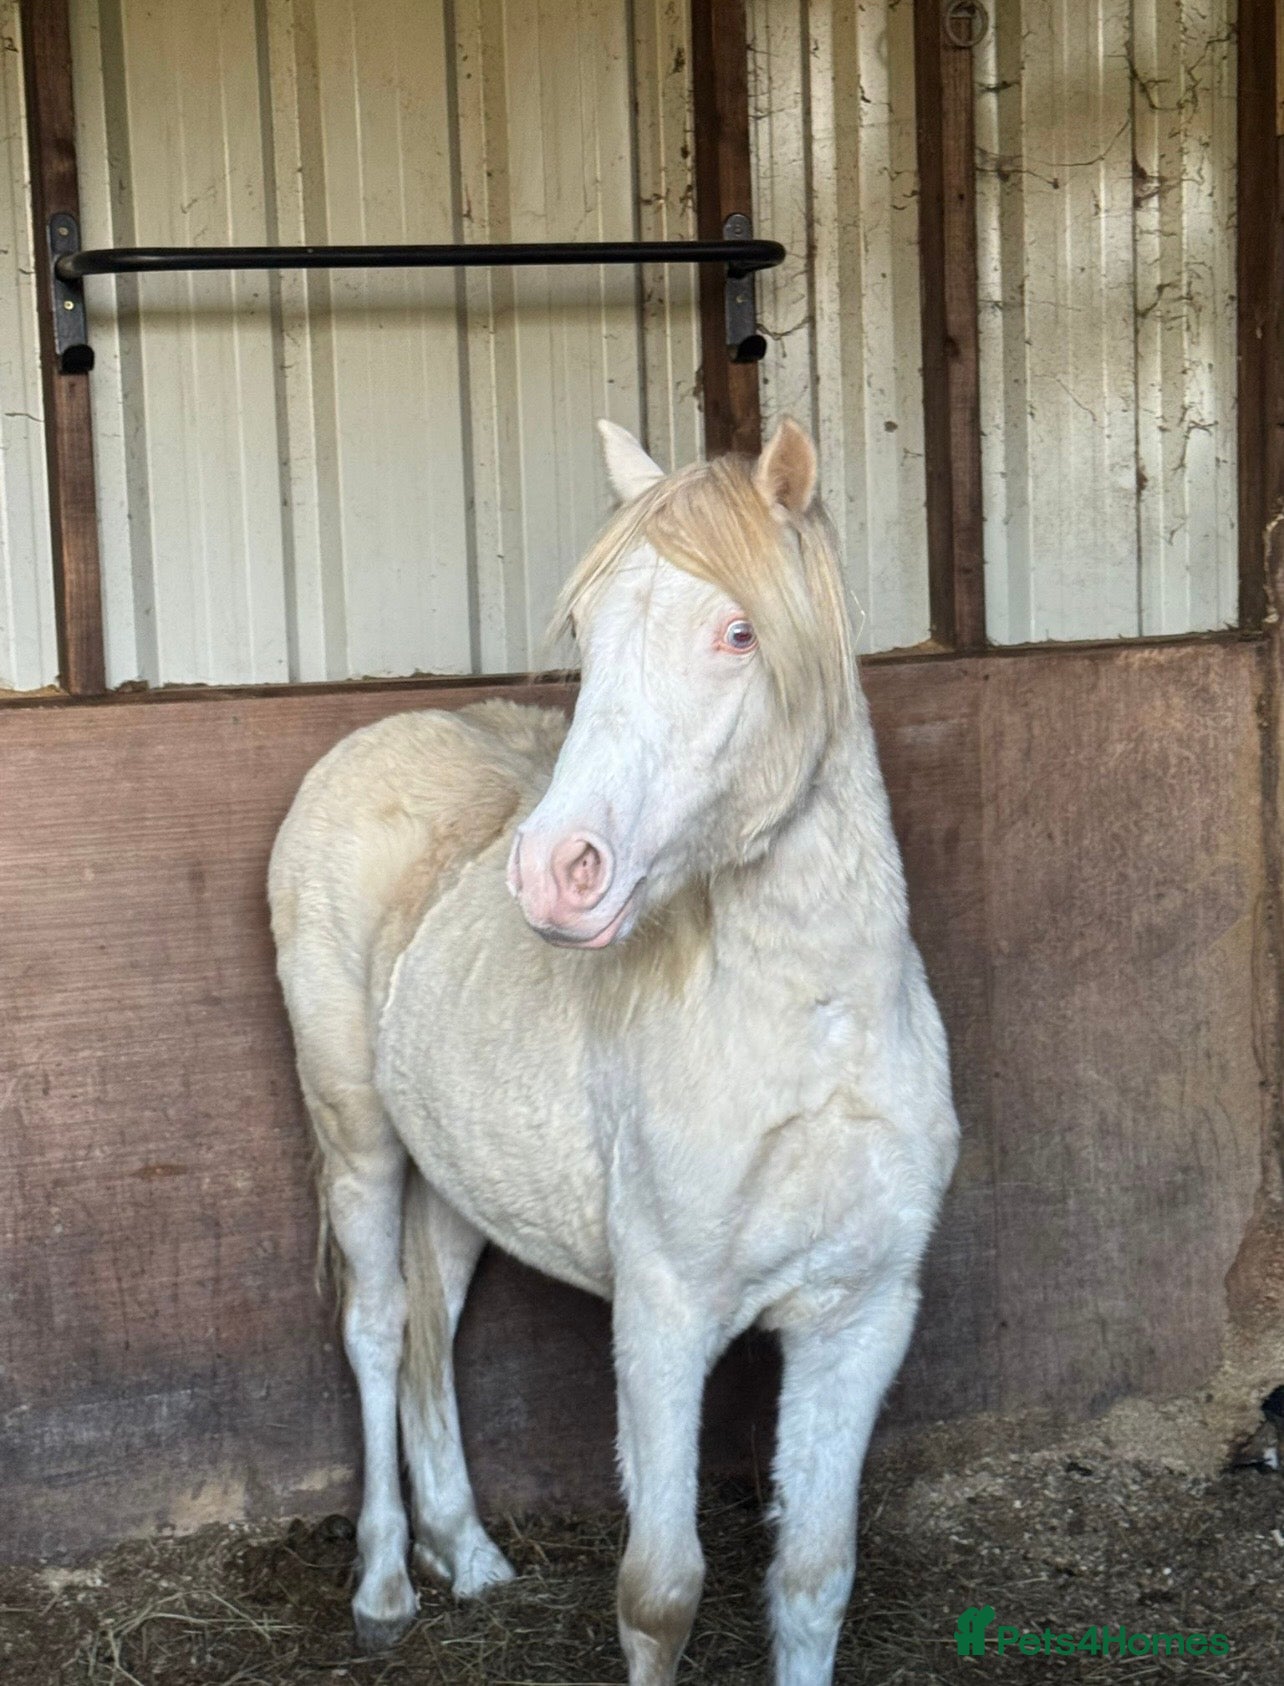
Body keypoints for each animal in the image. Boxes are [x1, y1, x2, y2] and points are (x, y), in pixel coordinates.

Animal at [268, 417, 959, 1686]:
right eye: (586, 633)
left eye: (739, 631)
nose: (553, 872)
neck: (815, 1025)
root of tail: (370, 741)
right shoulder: (664, 1316)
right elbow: (661, 1593)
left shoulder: (860, 1318)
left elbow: (812, 1580)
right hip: (358, 1139)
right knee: (378, 1327)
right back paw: (386, 1585)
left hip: (459, 1172)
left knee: (434, 1321)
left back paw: (468, 1554)